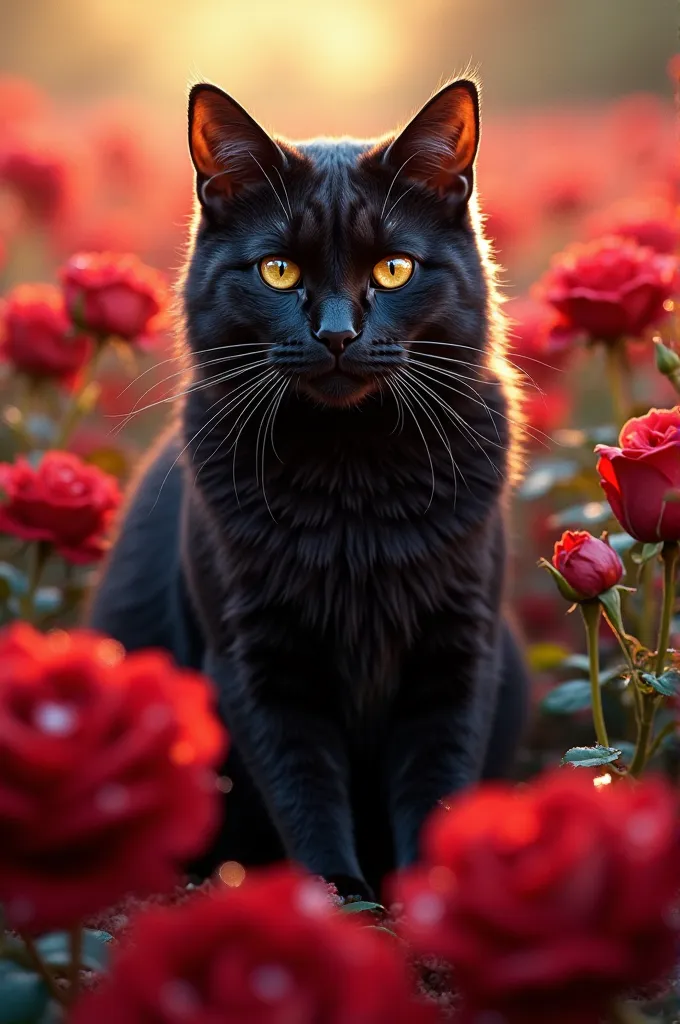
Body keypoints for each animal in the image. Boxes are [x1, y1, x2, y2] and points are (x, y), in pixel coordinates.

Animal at [89, 77, 524, 897]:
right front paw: (338, 898)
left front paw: (428, 901)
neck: (351, 478)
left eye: (394, 270)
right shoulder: (256, 660)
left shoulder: (459, 653)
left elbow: (438, 783)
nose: (336, 333)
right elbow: (303, 788)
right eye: (278, 272)